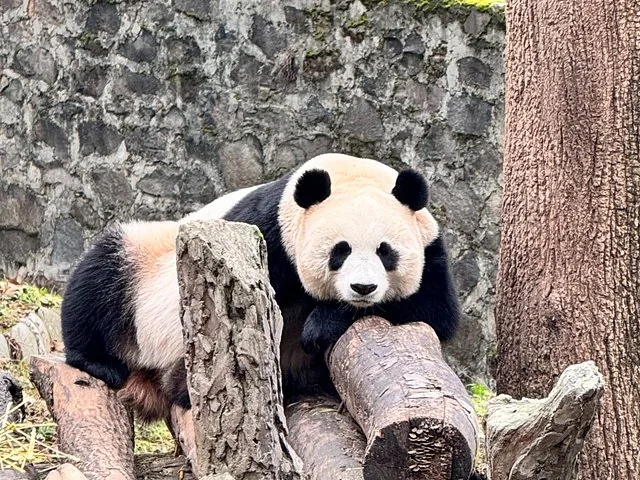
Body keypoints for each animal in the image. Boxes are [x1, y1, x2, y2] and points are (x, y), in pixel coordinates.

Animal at [61, 153, 459, 421]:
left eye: (385, 251)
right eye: (340, 250)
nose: (363, 288)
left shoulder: (430, 249)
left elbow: (433, 314)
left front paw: (322, 323)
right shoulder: (263, 231)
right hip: (146, 266)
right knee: (99, 277)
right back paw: (101, 362)